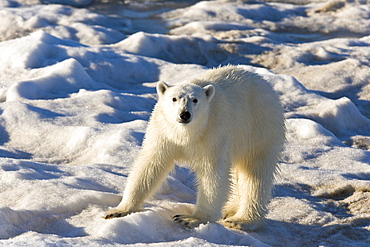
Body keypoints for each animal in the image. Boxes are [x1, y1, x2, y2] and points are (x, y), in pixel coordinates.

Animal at [104, 65, 286, 232]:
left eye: (195, 100)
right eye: (174, 99)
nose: (184, 114)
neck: (187, 134)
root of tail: (264, 83)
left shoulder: (213, 134)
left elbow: (212, 174)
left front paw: (190, 218)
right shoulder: (163, 133)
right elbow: (150, 165)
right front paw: (118, 210)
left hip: (260, 126)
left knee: (255, 173)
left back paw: (241, 220)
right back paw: (230, 209)